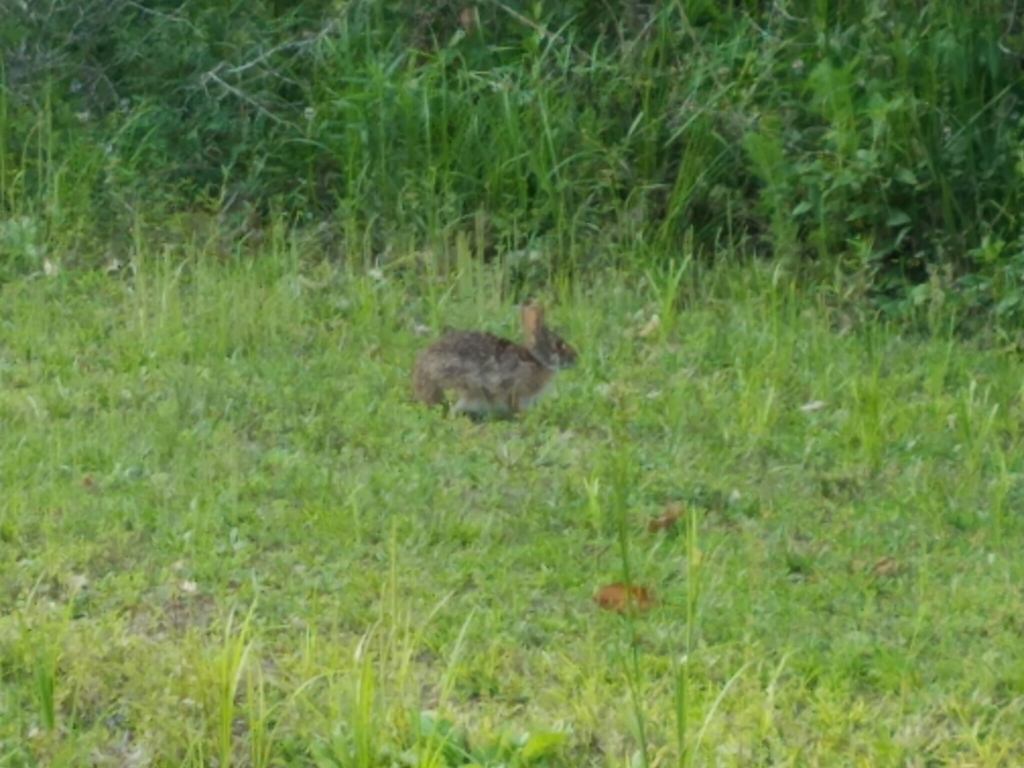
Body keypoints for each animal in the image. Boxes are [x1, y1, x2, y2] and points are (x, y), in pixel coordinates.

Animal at [412, 300, 577, 417]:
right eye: (559, 344)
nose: (575, 357)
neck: (534, 359)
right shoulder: (514, 388)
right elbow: (513, 405)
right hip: (462, 388)